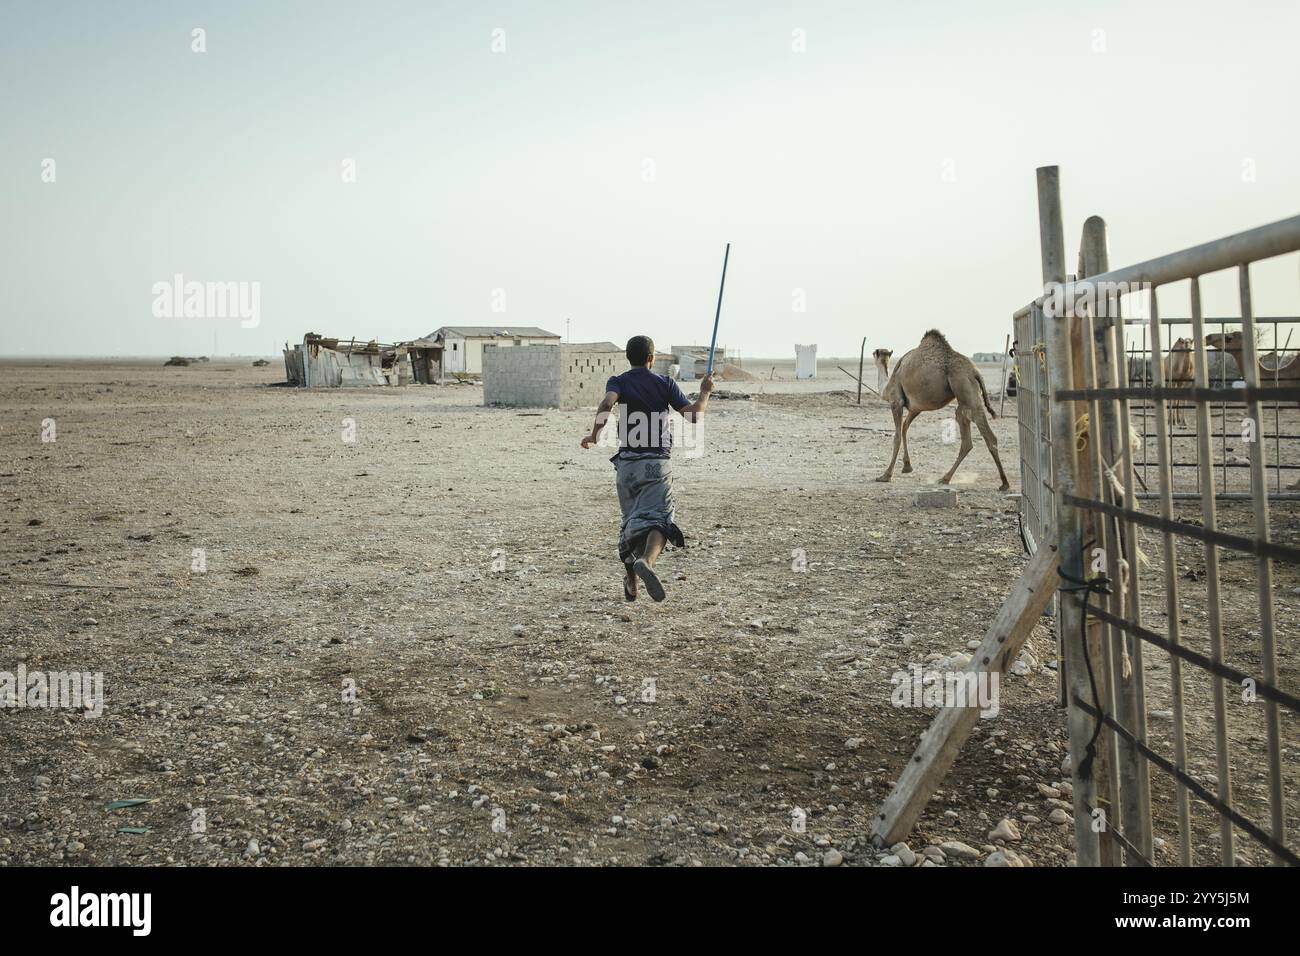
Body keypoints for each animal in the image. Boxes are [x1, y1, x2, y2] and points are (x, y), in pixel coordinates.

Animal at [878, 330, 1008, 494]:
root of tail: (975, 371)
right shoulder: (915, 408)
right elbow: (904, 428)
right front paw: (907, 466)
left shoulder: (896, 402)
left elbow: (896, 437)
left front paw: (885, 475)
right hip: (964, 398)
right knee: (966, 437)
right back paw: (946, 478)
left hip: (964, 385)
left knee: (988, 436)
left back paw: (1004, 483)